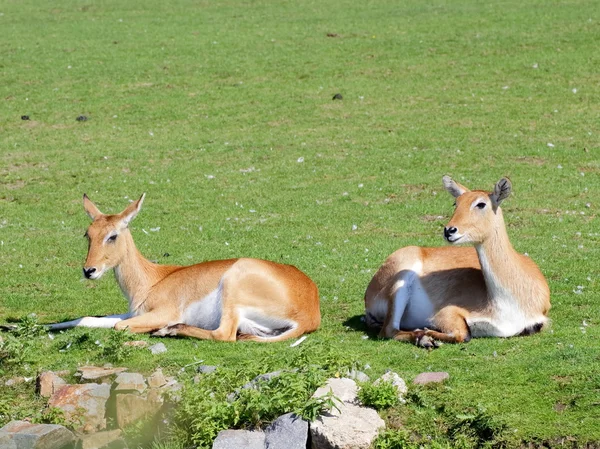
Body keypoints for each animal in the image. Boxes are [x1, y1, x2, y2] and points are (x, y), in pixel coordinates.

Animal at [49, 193, 322, 344]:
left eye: (112, 235)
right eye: (88, 233)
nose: (89, 270)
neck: (151, 280)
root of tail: (309, 312)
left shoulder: (162, 312)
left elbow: (118, 326)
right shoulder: (133, 313)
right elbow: (87, 319)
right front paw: (47, 327)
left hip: (232, 287)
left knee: (224, 334)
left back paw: (167, 331)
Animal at [364, 175, 552, 346]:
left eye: (481, 203)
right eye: (456, 203)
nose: (449, 230)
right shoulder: (445, 313)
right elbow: (463, 334)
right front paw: (427, 333)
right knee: (388, 330)